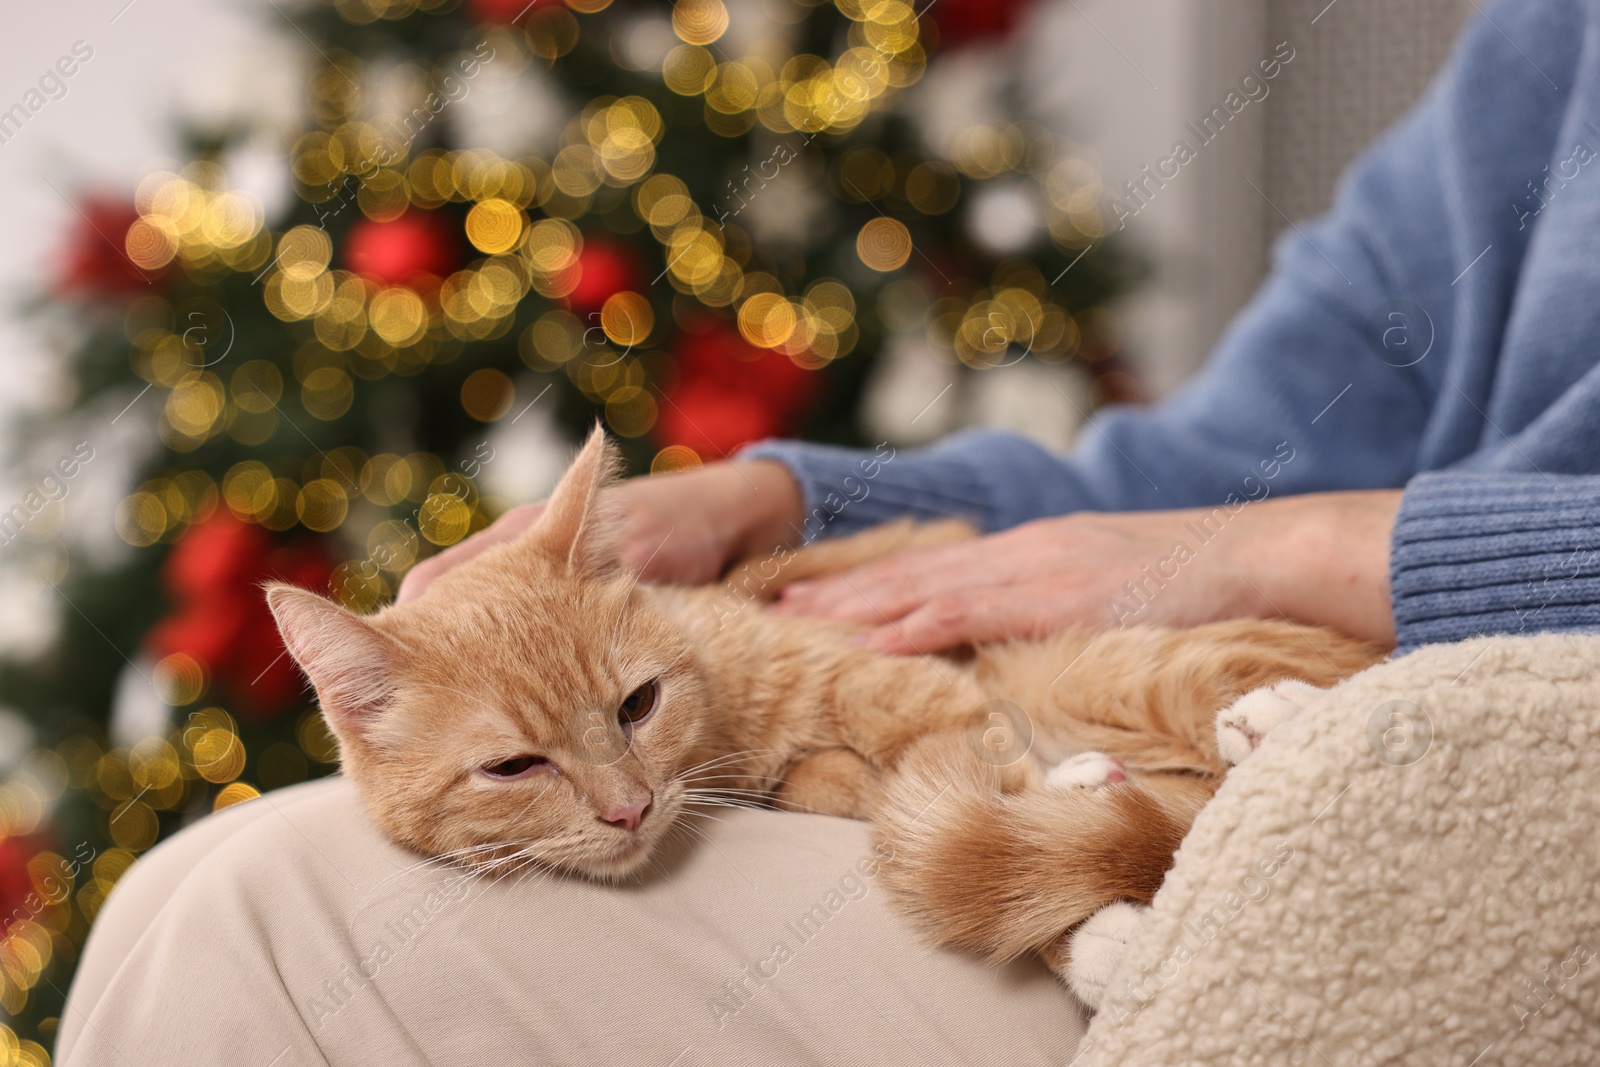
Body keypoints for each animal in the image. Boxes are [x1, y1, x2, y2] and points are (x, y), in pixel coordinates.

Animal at [268, 428, 1382, 1011]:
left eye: (637, 704)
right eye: (513, 767)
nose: (629, 809)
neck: (729, 728)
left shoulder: (905, 683)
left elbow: (982, 790)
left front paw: (1069, 831)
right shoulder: (823, 780)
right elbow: (940, 811)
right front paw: (1095, 930)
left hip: (1123, 658)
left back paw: (1273, 719)